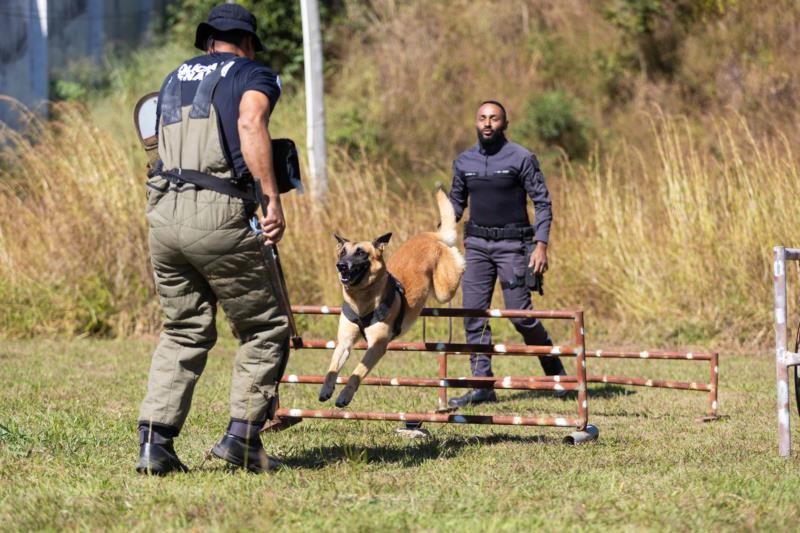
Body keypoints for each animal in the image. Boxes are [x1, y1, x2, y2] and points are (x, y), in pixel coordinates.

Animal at [318, 188, 466, 408]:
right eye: (343, 252)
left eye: (360, 253)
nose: (341, 266)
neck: (362, 299)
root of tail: (427, 235)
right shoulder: (344, 342)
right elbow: (332, 367)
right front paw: (326, 389)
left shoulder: (377, 346)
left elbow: (356, 372)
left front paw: (344, 395)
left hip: (443, 290)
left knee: (456, 258)